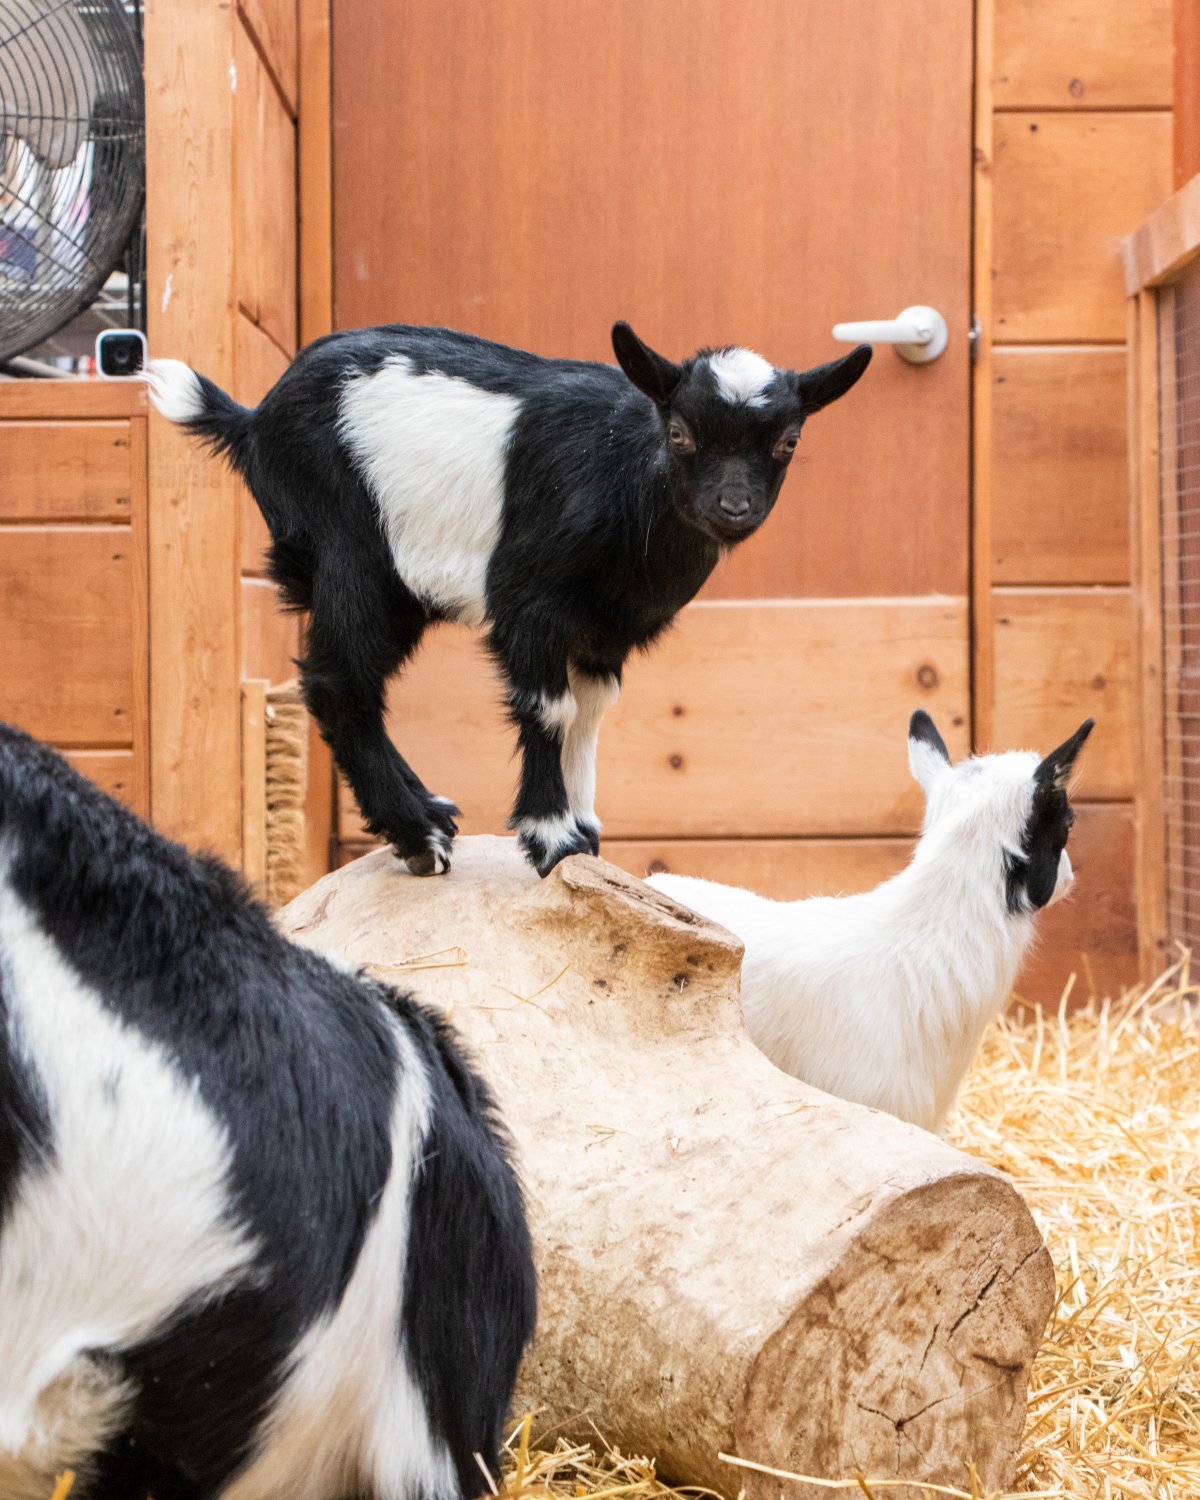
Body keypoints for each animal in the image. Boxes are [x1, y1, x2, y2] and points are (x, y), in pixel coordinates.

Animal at [147, 321, 870, 876]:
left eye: (789, 442)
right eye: (681, 434)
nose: (734, 507)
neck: (623, 476)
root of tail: (253, 421)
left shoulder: (605, 629)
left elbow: (591, 710)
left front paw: (587, 831)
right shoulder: (529, 600)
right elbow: (549, 708)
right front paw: (552, 839)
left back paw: (429, 811)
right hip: (352, 549)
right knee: (338, 682)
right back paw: (417, 836)